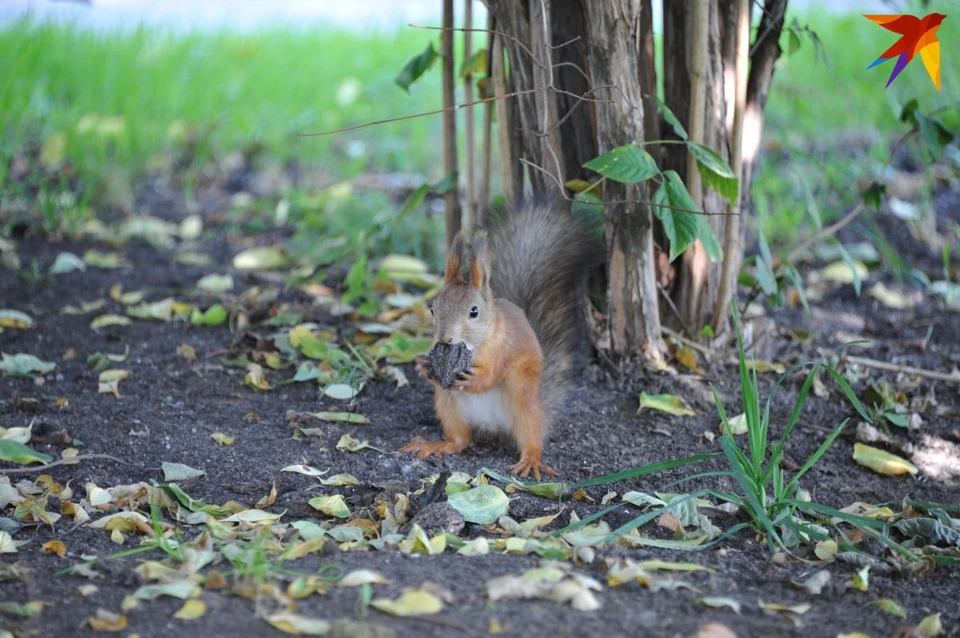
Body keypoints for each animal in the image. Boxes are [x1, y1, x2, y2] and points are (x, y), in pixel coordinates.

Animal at [400, 201, 596, 480]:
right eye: (433, 309)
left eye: (474, 312)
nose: (445, 338)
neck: (474, 345)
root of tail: (492, 427)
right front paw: (423, 366)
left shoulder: (503, 349)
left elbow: (490, 377)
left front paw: (472, 379)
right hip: (448, 405)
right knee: (460, 440)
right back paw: (438, 444)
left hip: (524, 406)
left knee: (531, 435)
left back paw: (531, 460)